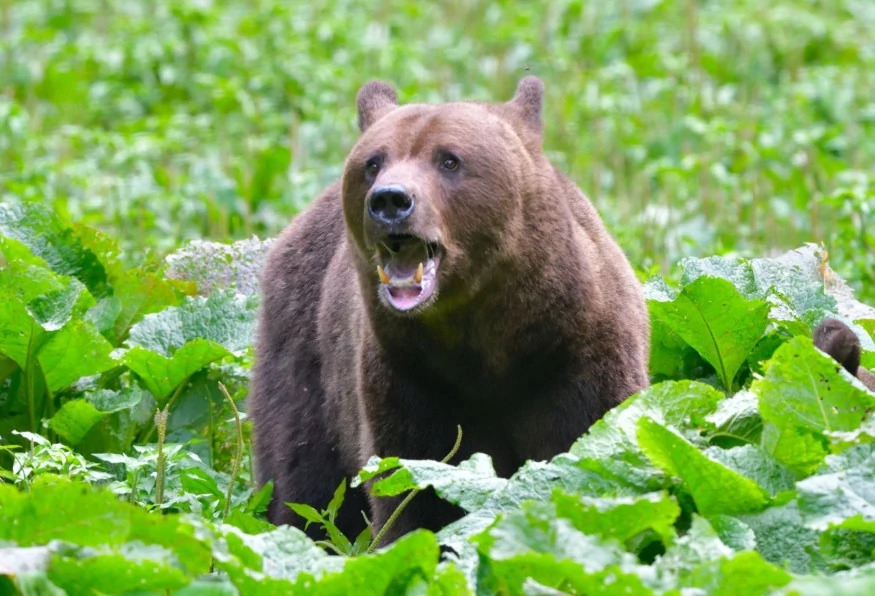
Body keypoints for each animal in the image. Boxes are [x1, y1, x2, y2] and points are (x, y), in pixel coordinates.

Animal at [248, 77, 651, 545]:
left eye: (449, 159)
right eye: (373, 162)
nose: (390, 200)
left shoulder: (578, 357)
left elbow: (589, 451)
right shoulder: (411, 379)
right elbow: (416, 494)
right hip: (306, 363)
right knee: (303, 481)